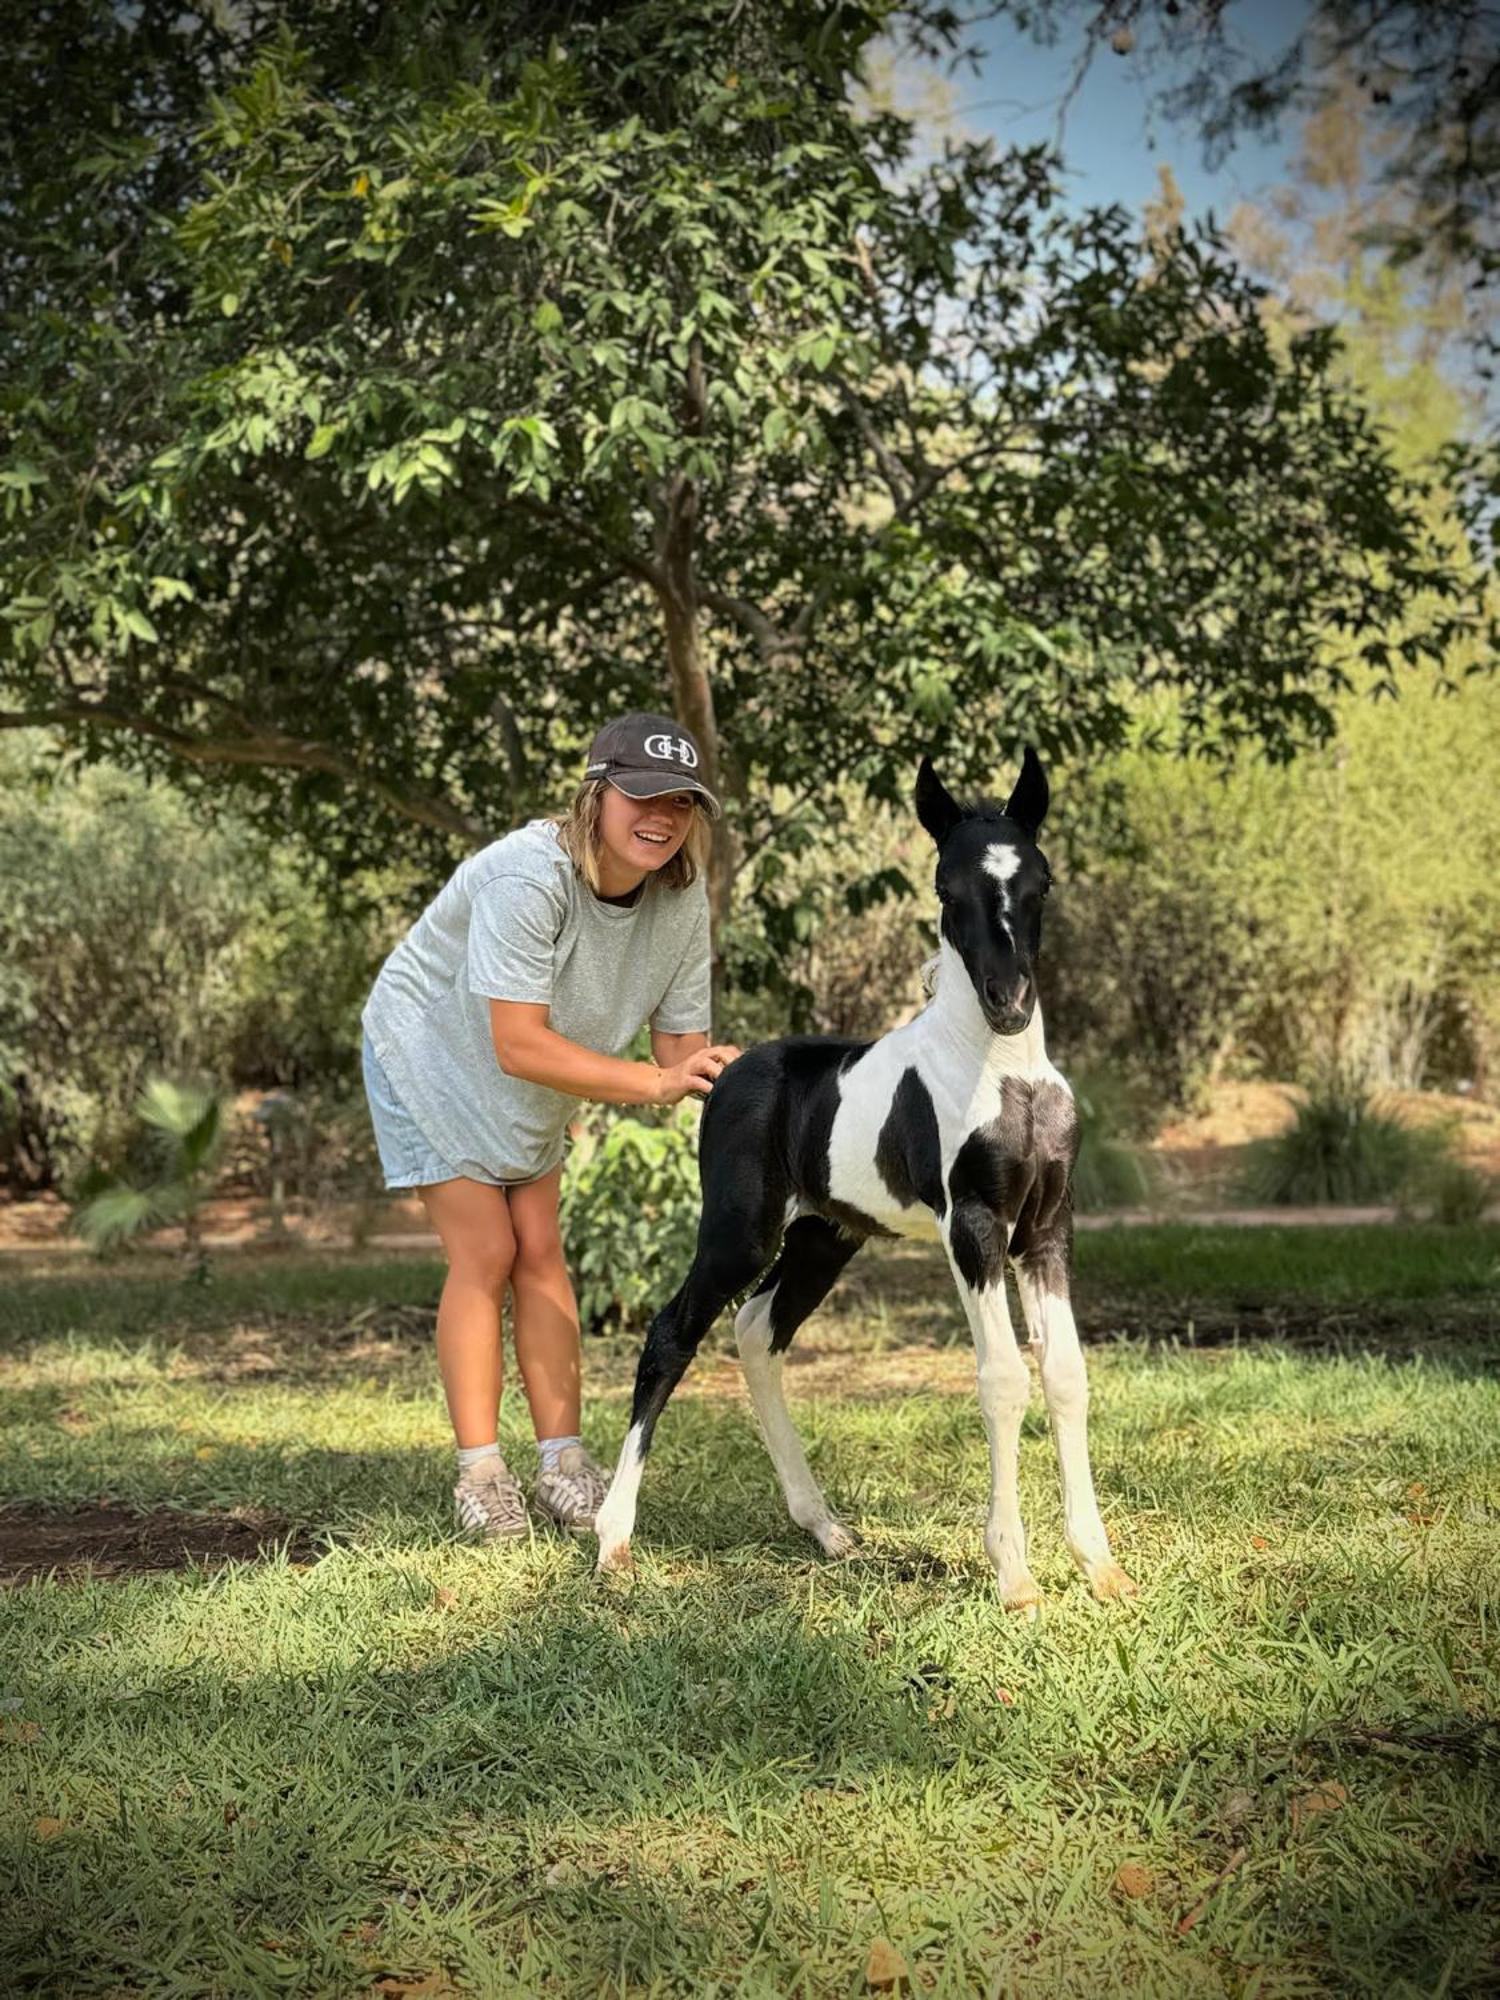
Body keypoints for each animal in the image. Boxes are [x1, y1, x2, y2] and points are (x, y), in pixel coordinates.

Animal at [592, 752, 1136, 1608]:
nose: (1009, 1003)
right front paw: (1014, 1574)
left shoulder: (1048, 1227)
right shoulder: (972, 1227)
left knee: (759, 1331)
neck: (1004, 1072)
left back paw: (824, 1527)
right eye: (948, 889)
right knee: (672, 1333)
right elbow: (1003, 1377)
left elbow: (1066, 1373)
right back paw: (613, 1538)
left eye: (1041, 882)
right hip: (740, 1232)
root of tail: (725, 1073)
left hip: (826, 1236)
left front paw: (1099, 1563)